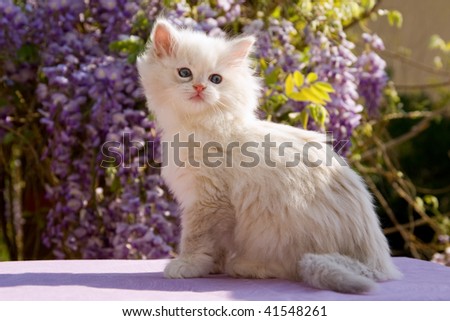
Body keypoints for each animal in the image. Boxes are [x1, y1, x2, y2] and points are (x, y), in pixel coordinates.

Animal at [137, 17, 400, 292]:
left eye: (215, 79)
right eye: (184, 73)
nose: (199, 87)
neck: (200, 126)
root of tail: (377, 264)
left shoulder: (208, 201)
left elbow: (196, 239)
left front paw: (188, 265)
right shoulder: (213, 206)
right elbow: (216, 246)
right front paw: (212, 267)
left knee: (287, 267)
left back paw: (245, 267)